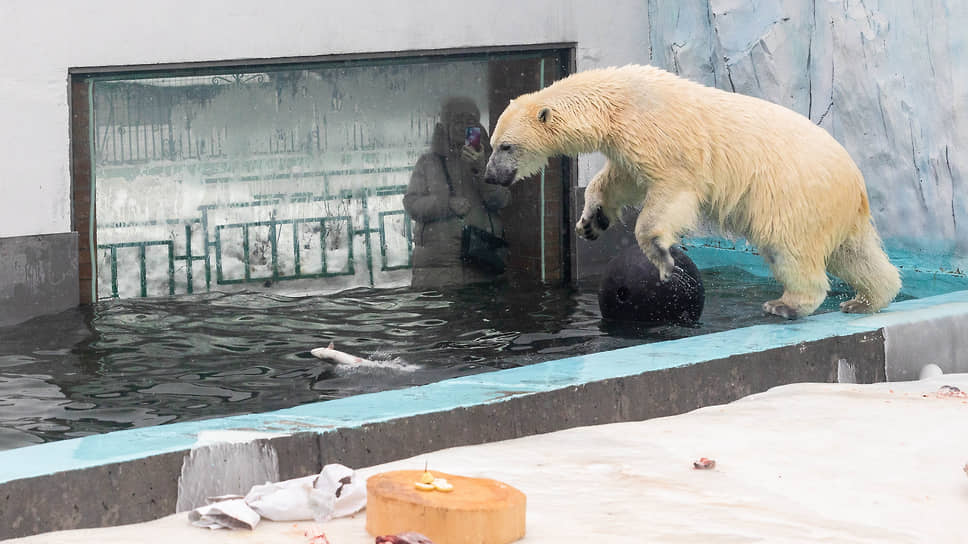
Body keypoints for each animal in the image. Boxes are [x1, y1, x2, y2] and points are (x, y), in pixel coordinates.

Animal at [488, 63, 904, 318]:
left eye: (505, 147)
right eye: (493, 143)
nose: (491, 176)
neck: (618, 101)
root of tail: (856, 182)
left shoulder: (659, 137)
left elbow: (671, 190)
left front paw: (662, 256)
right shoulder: (626, 143)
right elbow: (619, 180)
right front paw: (592, 221)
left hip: (793, 195)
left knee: (787, 248)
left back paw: (785, 305)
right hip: (833, 209)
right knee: (856, 255)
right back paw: (866, 300)